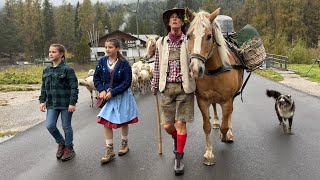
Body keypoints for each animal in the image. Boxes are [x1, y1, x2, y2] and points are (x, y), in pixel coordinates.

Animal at [185, 8, 245, 165]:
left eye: (209, 36)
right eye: (188, 35)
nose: (195, 69)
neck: (214, 70)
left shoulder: (227, 100)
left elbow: (226, 123)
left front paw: (226, 135)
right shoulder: (202, 101)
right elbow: (206, 126)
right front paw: (209, 154)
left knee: (229, 115)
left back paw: (229, 132)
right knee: (214, 107)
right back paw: (217, 121)